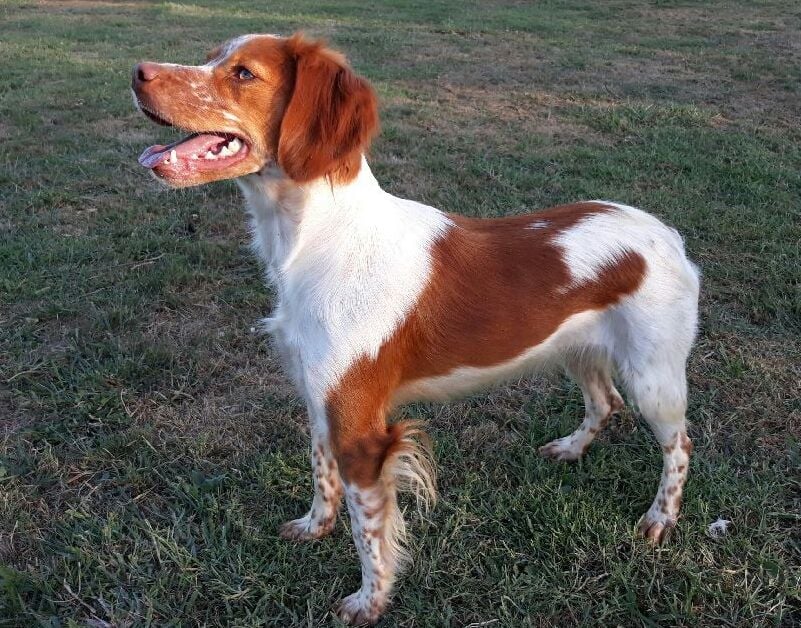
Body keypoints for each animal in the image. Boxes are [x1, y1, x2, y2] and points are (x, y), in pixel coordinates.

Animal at [131, 33, 700, 624]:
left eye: (243, 73)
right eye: (211, 56)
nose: (137, 72)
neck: (315, 241)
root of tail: (667, 233)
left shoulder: (362, 431)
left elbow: (369, 532)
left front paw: (368, 601)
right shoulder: (321, 401)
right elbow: (320, 474)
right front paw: (314, 526)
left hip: (654, 377)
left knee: (679, 444)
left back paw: (660, 518)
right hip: (578, 349)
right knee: (604, 402)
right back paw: (570, 449)